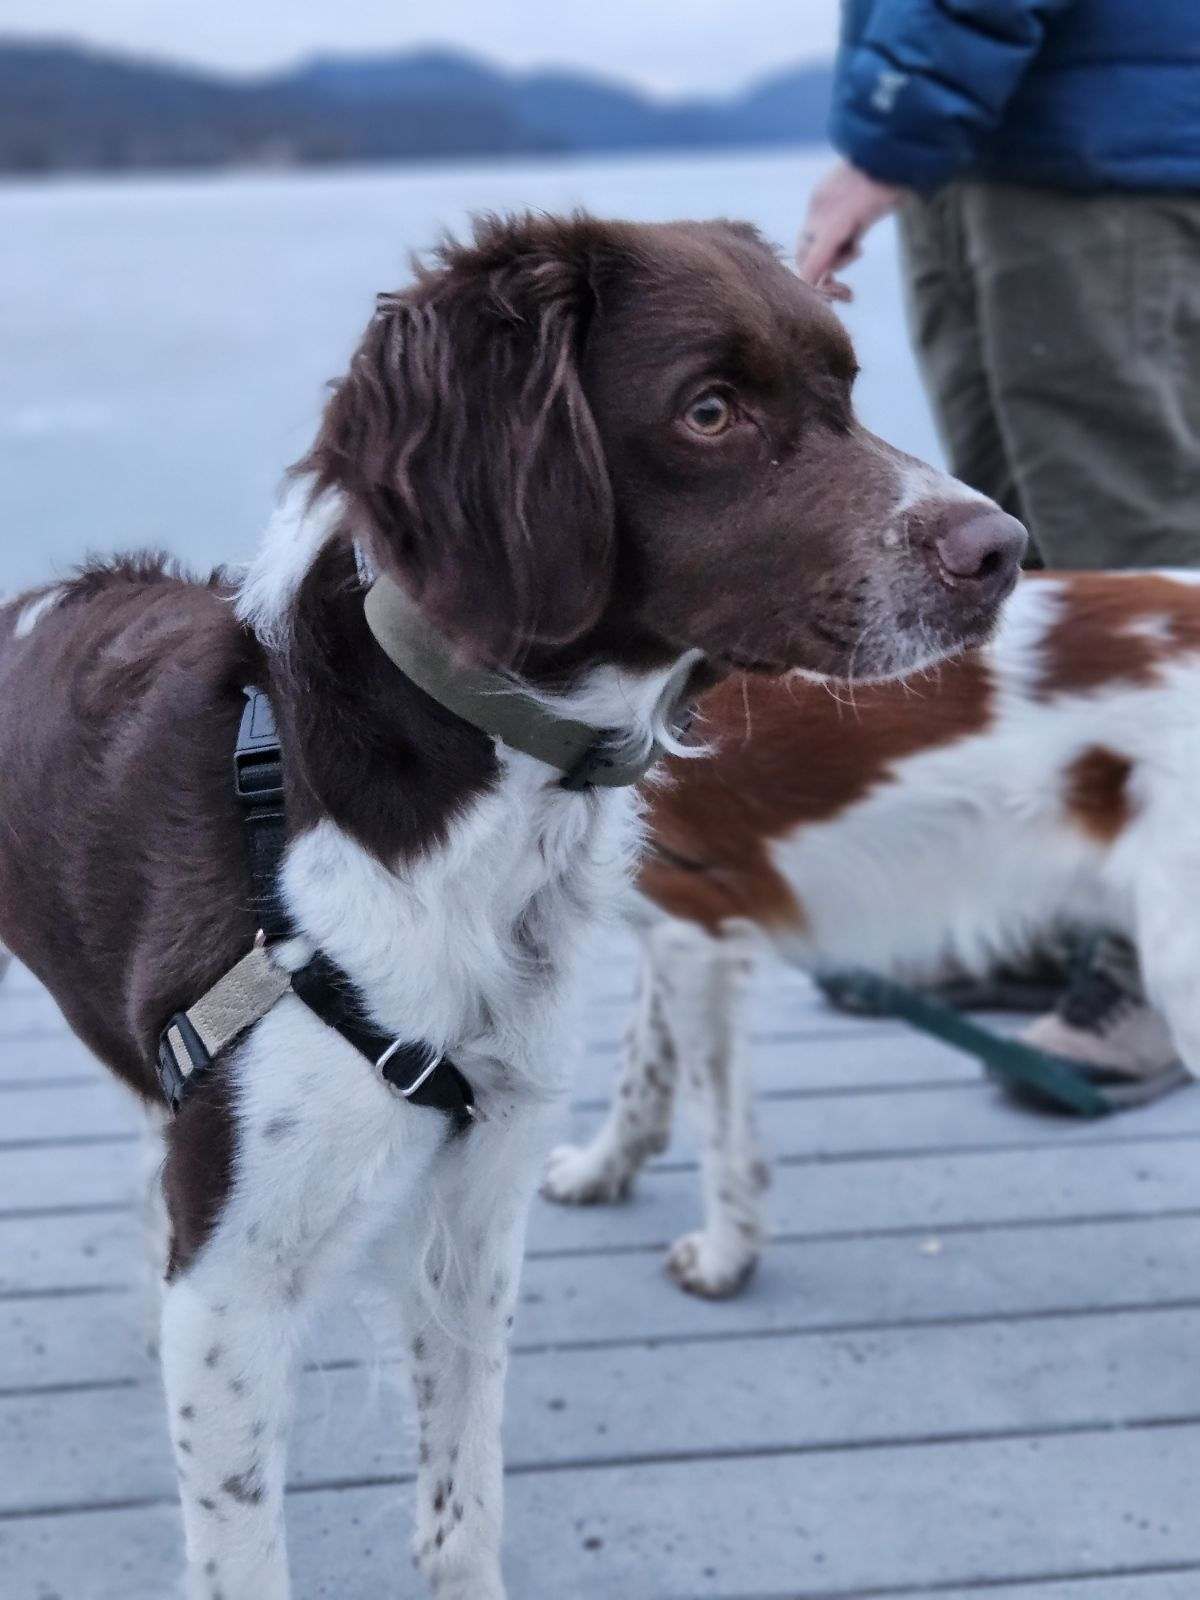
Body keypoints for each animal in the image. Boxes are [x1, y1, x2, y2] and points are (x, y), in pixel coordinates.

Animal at [0, 216, 1024, 1600]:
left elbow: (463, 1506)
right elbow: (242, 1548)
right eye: (710, 409)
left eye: (847, 390)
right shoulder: (237, 1283)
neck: (478, 797)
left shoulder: (478, 1212)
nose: (1005, 548)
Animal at [544, 576, 1200, 1299]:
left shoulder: (696, 928)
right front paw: (601, 1171)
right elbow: (642, 1069)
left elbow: (714, 1120)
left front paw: (725, 1256)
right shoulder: (673, 926)